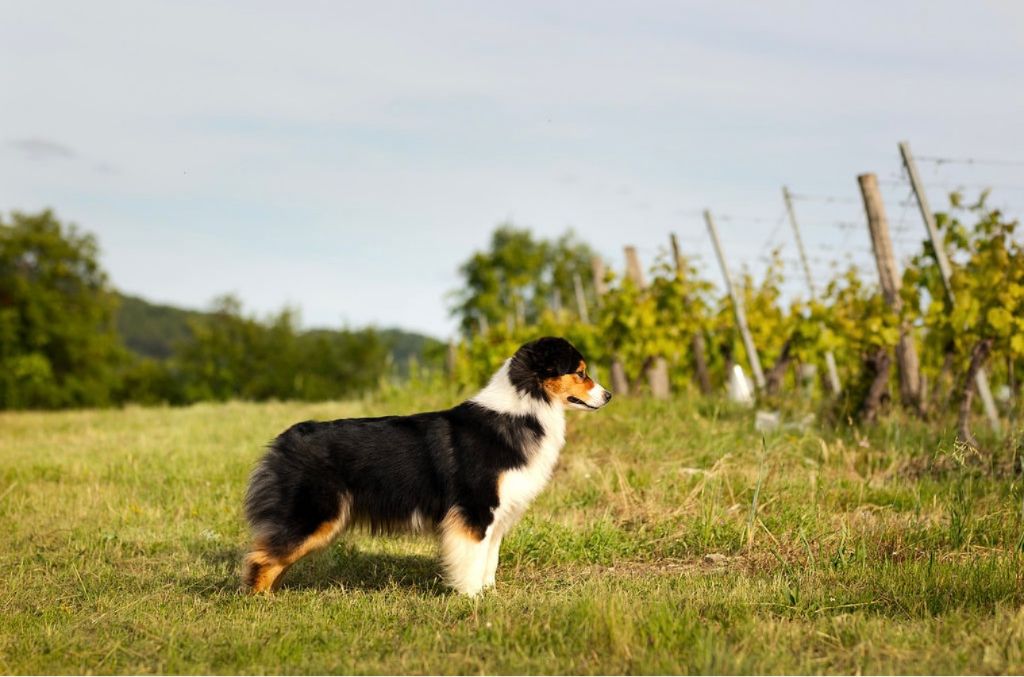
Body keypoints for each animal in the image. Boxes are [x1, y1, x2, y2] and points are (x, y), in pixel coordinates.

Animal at [243, 335, 610, 594]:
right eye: (580, 372)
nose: (608, 396)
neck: (525, 406)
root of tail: (284, 439)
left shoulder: (497, 515)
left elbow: (489, 559)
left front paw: (489, 594)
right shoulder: (475, 510)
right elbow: (472, 560)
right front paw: (472, 598)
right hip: (313, 514)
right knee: (261, 558)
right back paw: (261, 603)